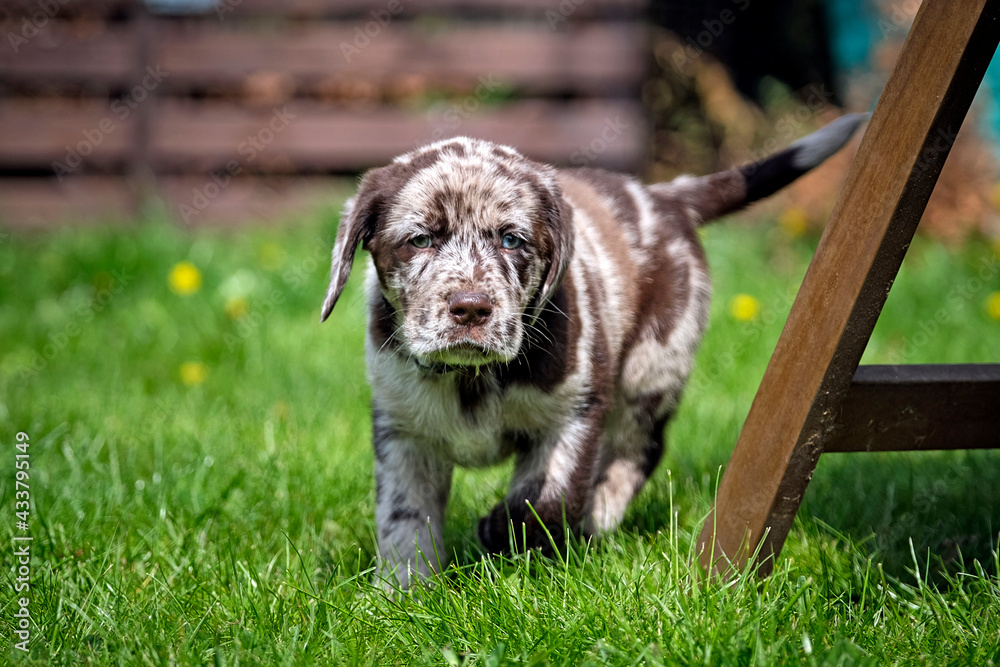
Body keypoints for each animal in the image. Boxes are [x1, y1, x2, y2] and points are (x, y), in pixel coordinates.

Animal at [322, 115, 868, 588]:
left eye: (511, 240)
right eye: (420, 240)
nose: (471, 308)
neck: (470, 379)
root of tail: (665, 196)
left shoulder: (577, 409)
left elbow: (547, 499)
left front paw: (501, 531)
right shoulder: (402, 432)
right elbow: (405, 518)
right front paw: (401, 592)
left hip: (651, 369)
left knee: (638, 450)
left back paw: (596, 516)